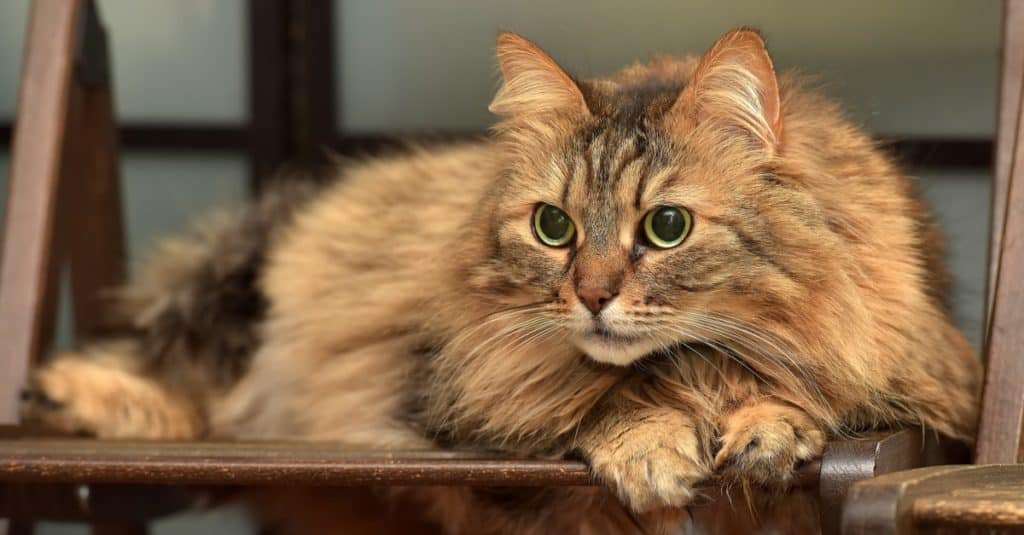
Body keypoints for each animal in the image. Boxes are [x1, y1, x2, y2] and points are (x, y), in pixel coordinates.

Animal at [22, 30, 983, 532]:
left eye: (666, 227)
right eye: (552, 226)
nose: (591, 295)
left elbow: (792, 395)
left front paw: (767, 424)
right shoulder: (466, 397)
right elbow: (606, 397)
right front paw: (652, 444)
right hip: (234, 287)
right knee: (175, 375)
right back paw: (68, 395)